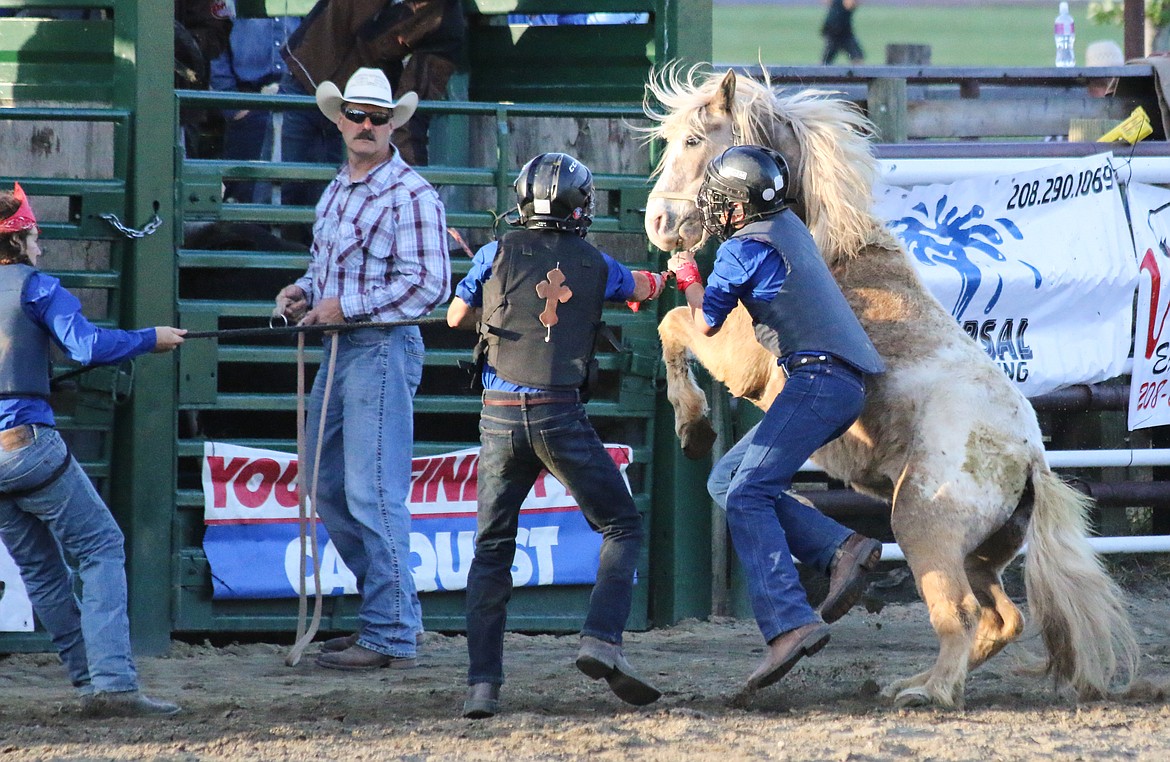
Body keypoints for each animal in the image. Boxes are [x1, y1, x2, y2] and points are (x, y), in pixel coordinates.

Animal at [645, 67, 1137, 711]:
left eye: (694, 140)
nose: (658, 223)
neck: (829, 245)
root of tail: (1031, 461)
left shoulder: (741, 357)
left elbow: (675, 325)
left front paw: (693, 425)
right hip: (979, 555)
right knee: (1001, 618)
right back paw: (912, 676)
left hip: (924, 529)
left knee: (961, 614)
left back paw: (928, 692)